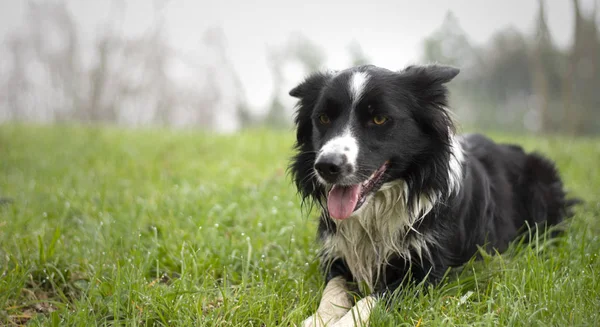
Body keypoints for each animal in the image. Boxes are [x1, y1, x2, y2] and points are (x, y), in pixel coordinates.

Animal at [288, 64, 580, 327]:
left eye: (379, 119)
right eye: (323, 118)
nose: (326, 166)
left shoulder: (424, 271)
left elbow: (373, 299)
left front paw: (344, 321)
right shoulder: (337, 255)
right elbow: (333, 290)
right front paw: (318, 319)